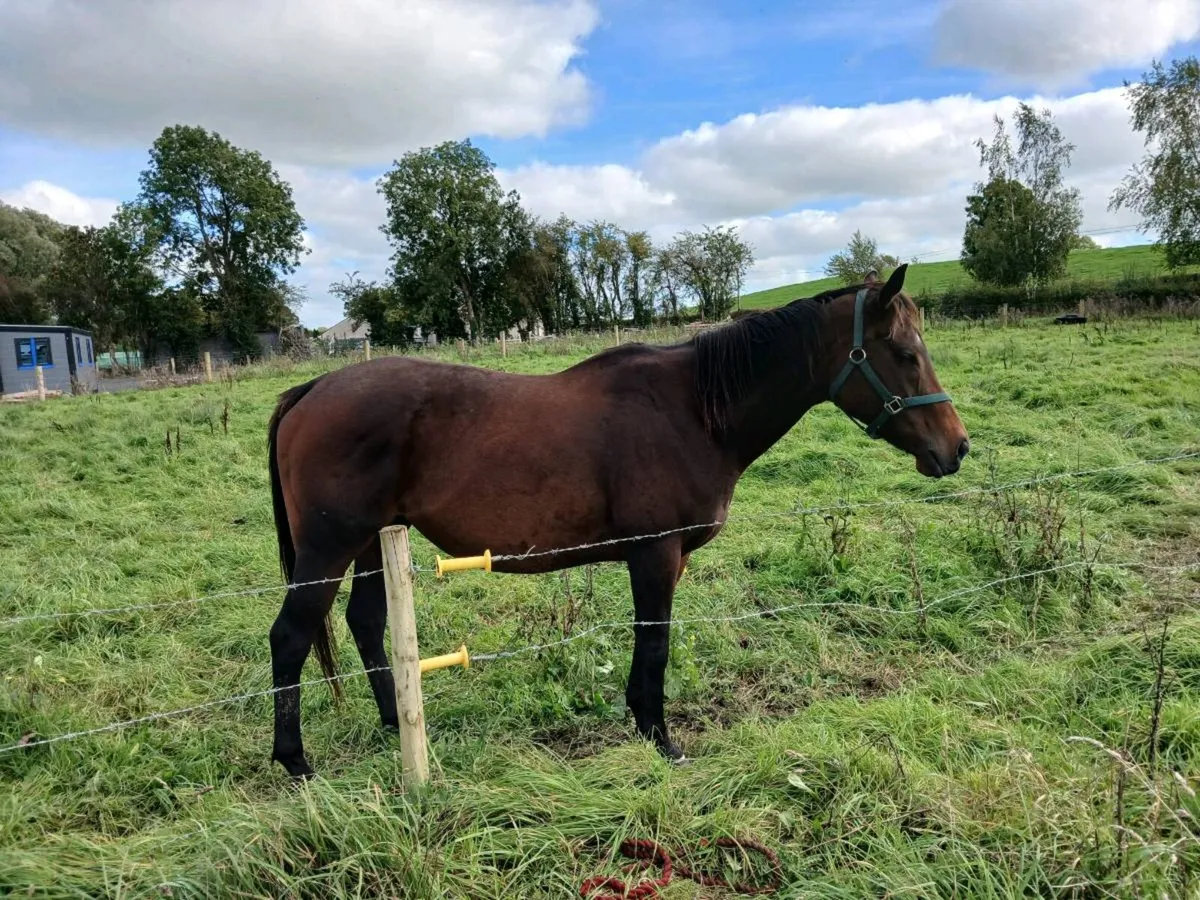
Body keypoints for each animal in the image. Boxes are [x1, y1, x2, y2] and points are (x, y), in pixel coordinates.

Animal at [265, 264, 969, 778]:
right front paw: (661, 738)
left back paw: (395, 723)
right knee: (291, 638)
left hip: (372, 543)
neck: (694, 411)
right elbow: (654, 644)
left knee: (365, 624)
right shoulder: (655, 555)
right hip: (329, 548)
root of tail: (312, 388)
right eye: (903, 352)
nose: (956, 448)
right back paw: (295, 763)